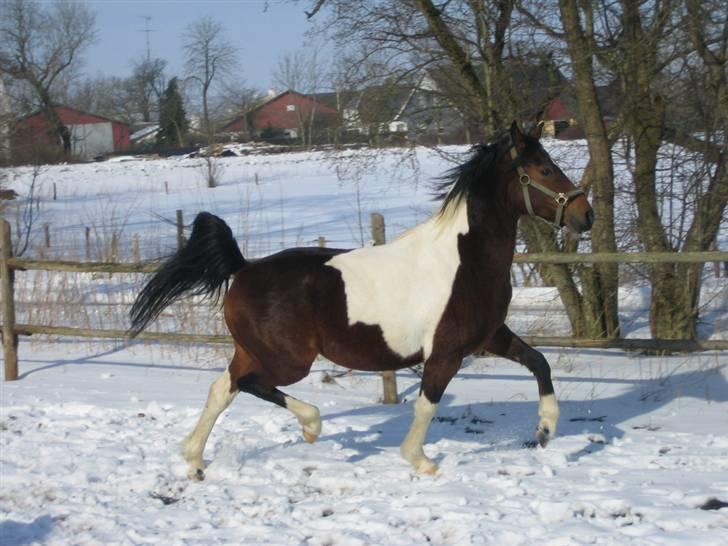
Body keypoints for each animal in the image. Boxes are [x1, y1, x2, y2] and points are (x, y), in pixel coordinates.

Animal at [129, 121, 592, 478]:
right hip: (289, 360)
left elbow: (539, 361)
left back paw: (194, 461)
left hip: (255, 350)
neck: (464, 261)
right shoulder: (445, 352)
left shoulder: (489, 336)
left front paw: (545, 431)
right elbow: (427, 404)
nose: (584, 215)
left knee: (222, 388)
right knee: (247, 384)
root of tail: (242, 268)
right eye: (544, 168)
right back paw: (311, 426)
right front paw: (420, 461)